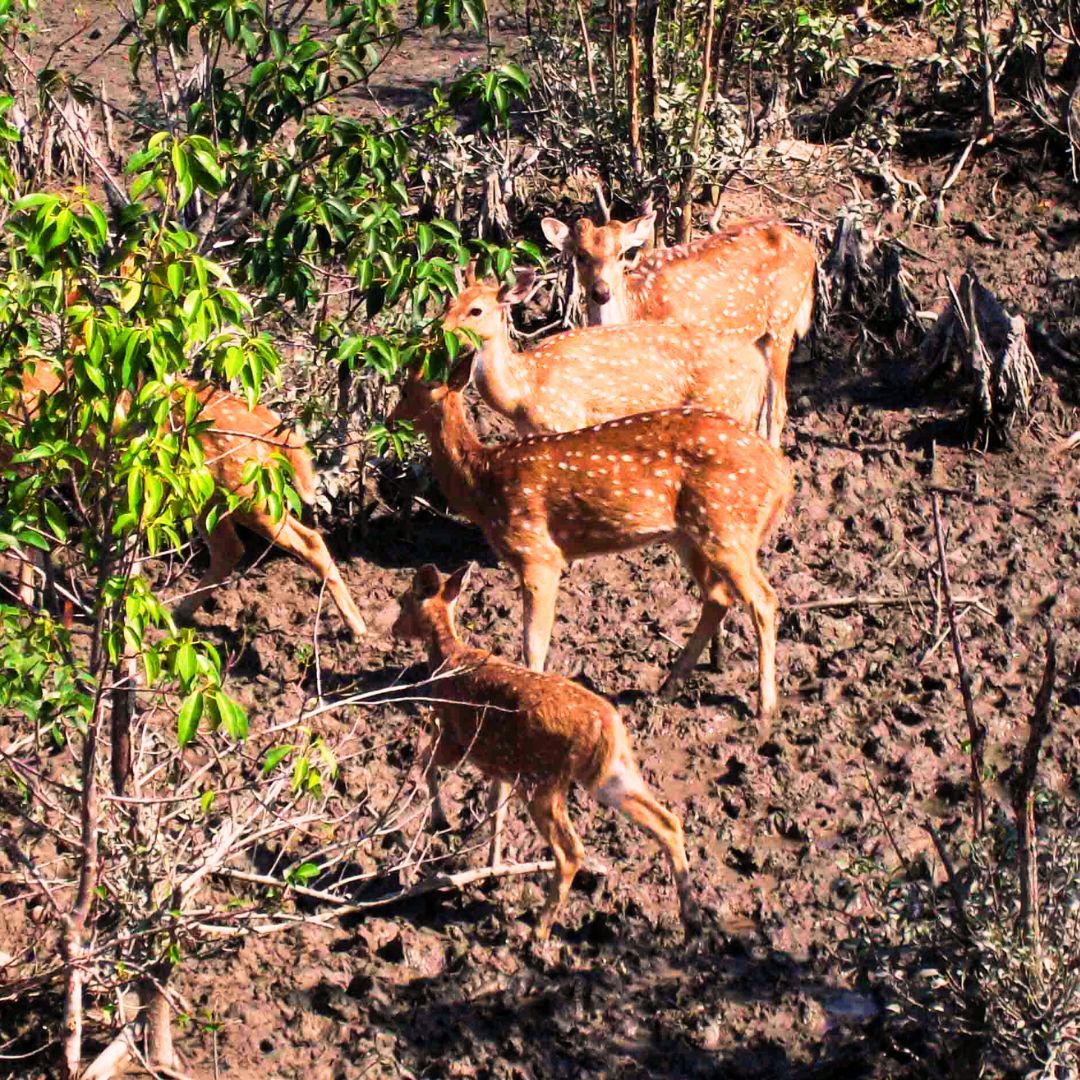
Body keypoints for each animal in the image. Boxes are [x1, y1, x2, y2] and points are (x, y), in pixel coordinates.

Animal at [3, 358, 367, 635]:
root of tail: (272, 427)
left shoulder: (26, 463)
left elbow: (26, 535)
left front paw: (24, 603)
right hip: (210, 495)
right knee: (229, 550)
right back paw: (178, 614)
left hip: (244, 490)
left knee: (309, 541)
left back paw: (358, 627)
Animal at [388, 561, 699, 941]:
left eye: (404, 600)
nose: (393, 629)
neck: (447, 659)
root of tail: (609, 729)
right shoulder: (499, 764)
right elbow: (494, 807)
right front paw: (491, 865)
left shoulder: (456, 737)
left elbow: (425, 761)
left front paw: (439, 819)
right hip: (608, 773)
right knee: (667, 822)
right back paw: (692, 919)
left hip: (543, 779)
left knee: (571, 851)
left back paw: (540, 929)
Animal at [442, 265, 773, 434]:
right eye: (450, 301)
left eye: (475, 310)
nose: (442, 328)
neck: (522, 394)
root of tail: (758, 364)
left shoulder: (566, 420)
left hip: (721, 402)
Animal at [544, 210, 812, 447]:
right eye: (581, 255)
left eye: (621, 254)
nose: (601, 291)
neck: (638, 308)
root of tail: (806, 246)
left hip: (783, 319)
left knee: (778, 408)